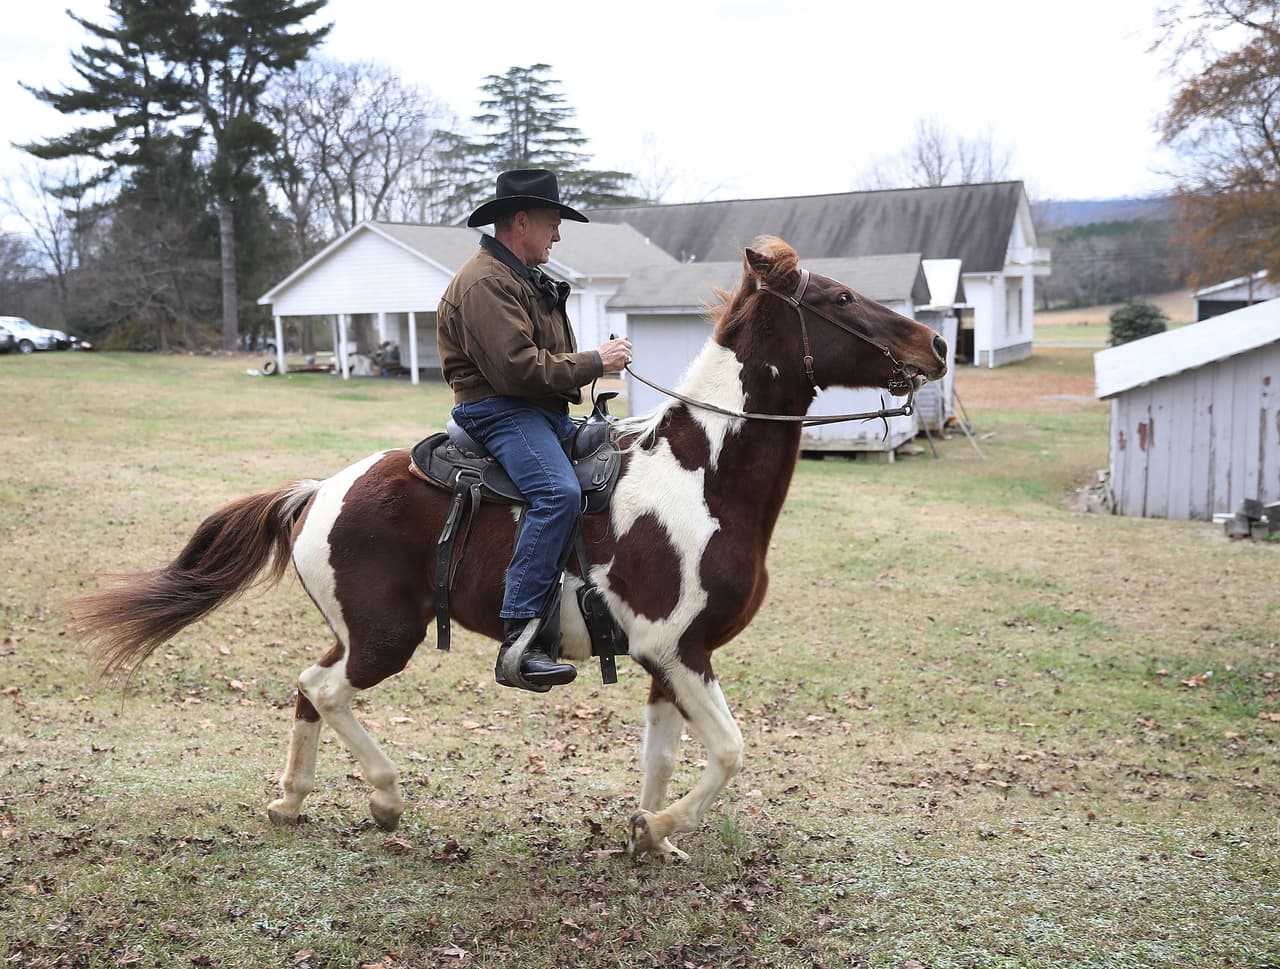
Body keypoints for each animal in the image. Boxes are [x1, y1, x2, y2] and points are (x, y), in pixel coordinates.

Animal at [73, 236, 948, 861]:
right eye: (839, 297)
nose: (935, 346)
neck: (700, 476)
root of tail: (318, 490)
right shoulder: (679, 649)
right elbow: (730, 753)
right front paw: (661, 826)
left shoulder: (666, 659)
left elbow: (662, 758)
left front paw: (649, 834)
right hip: (386, 638)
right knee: (325, 689)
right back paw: (384, 798)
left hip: (359, 630)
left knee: (307, 685)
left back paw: (291, 799)